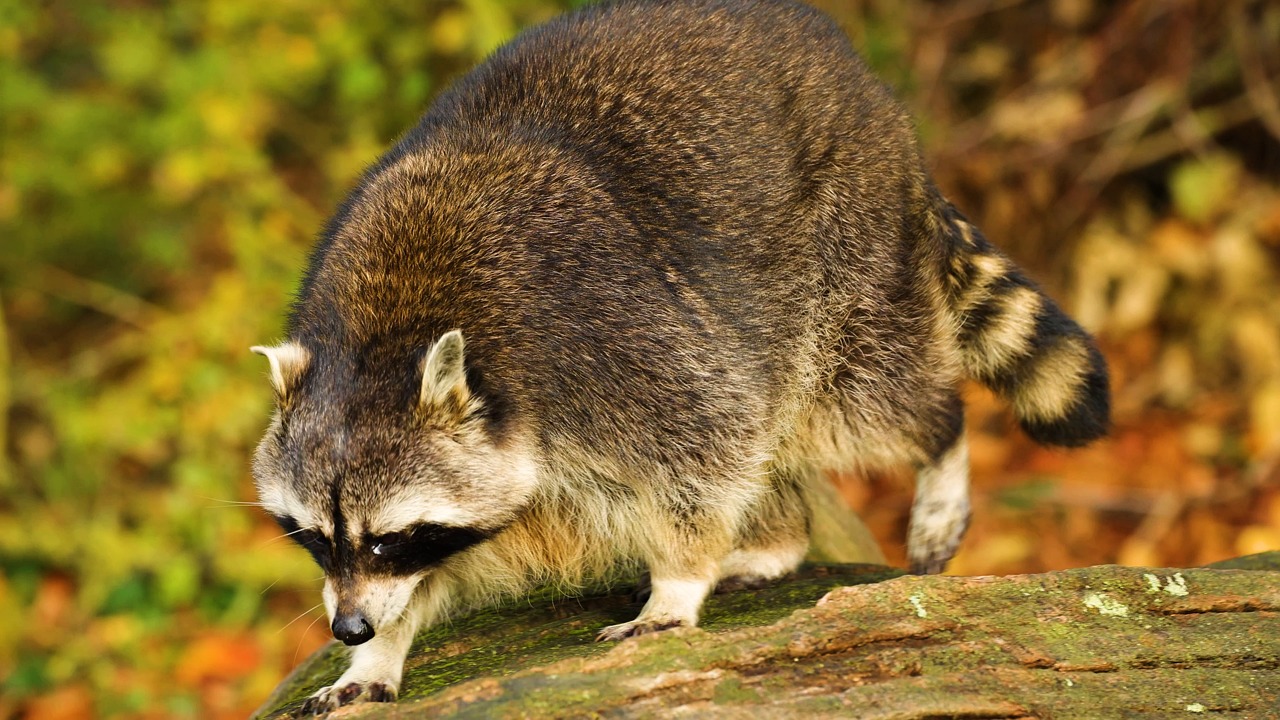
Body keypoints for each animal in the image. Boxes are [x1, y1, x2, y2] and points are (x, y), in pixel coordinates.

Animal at [250, 0, 1109, 712]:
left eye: (389, 538)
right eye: (316, 537)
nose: (348, 629)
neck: (380, 340)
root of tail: (863, 82)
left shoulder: (616, 342)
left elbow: (704, 451)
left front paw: (679, 581)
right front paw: (381, 653)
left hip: (845, 242)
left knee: (866, 400)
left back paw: (935, 449)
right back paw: (779, 536)